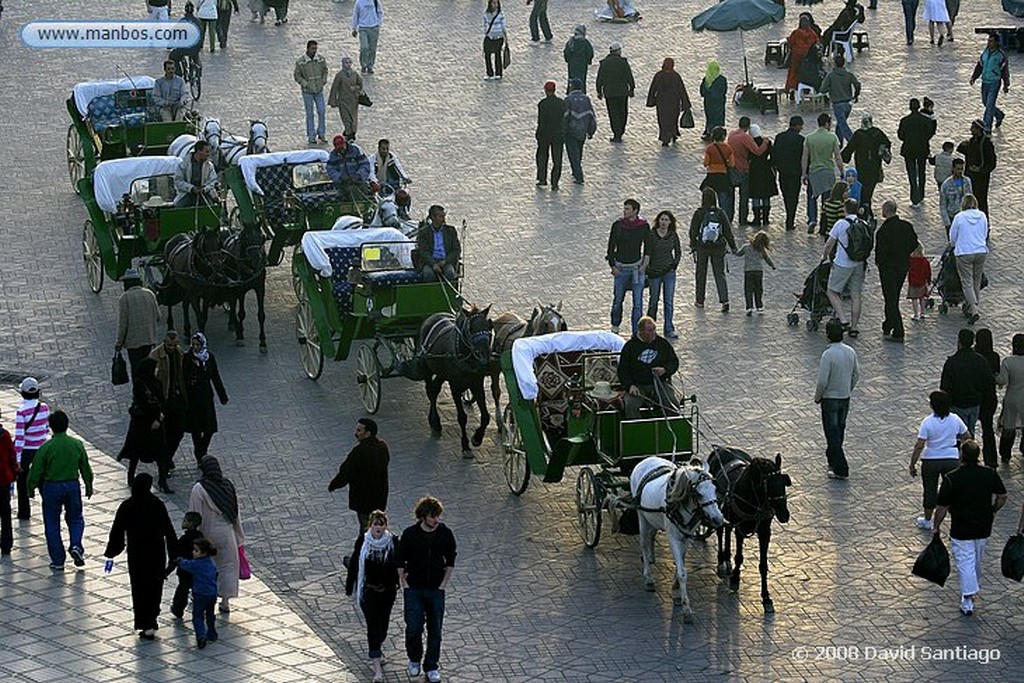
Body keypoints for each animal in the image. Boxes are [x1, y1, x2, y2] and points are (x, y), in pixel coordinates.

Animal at [162, 223, 268, 356]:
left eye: (262, 237)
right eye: (246, 238)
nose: (257, 260)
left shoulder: (259, 288)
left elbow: (260, 315)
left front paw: (262, 342)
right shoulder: (238, 289)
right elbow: (238, 313)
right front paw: (240, 335)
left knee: (186, 303)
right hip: (175, 283)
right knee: (172, 302)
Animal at [415, 305, 495, 458]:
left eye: (489, 326)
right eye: (470, 328)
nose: (485, 354)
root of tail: (432, 315)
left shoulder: (477, 383)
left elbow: (486, 416)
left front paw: (477, 438)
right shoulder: (455, 386)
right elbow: (462, 417)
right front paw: (465, 446)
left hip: (441, 373)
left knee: (435, 388)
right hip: (427, 366)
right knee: (430, 391)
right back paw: (435, 421)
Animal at [622, 456, 729, 622]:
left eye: (714, 489)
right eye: (699, 494)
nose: (719, 519)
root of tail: (647, 459)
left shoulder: (686, 536)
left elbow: (681, 563)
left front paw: (676, 590)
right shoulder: (673, 537)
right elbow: (682, 572)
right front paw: (686, 609)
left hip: (653, 519)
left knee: (652, 535)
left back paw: (651, 558)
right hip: (642, 517)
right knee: (644, 543)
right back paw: (648, 576)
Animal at [712, 446, 790, 618]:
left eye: (783, 483)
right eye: (769, 486)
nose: (784, 515)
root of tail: (721, 448)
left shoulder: (765, 532)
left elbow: (763, 565)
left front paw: (766, 598)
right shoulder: (740, 529)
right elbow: (739, 557)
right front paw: (735, 579)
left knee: (727, 529)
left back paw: (727, 560)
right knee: (721, 531)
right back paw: (722, 562)